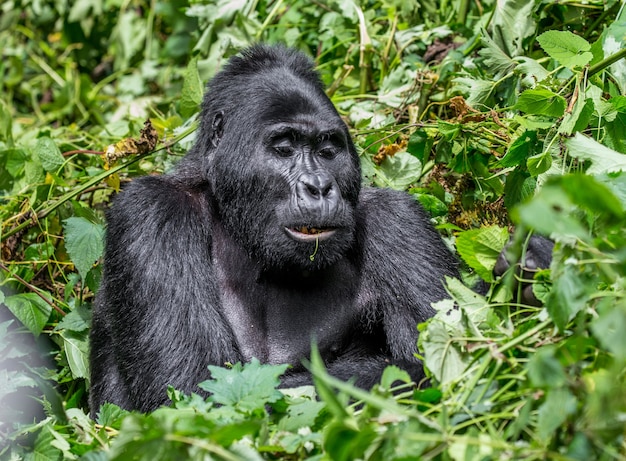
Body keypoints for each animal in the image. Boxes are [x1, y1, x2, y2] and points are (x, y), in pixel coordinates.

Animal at [88, 44, 516, 414]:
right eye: (284, 148)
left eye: (328, 151)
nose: (319, 186)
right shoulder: (151, 213)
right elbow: (196, 393)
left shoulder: (397, 221)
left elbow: (454, 347)